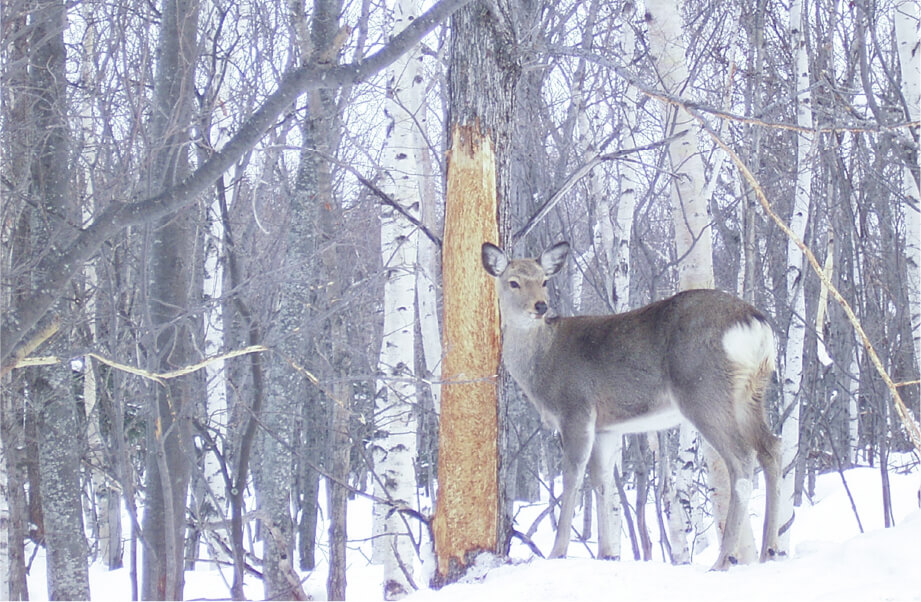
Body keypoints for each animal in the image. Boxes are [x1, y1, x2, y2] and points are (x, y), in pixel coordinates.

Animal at [481, 241, 782, 571]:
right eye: (513, 282)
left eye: (544, 280)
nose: (540, 306)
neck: (542, 362)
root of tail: (755, 323)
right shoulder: (606, 427)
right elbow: (601, 481)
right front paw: (607, 552)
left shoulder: (576, 408)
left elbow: (573, 477)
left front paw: (557, 551)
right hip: (751, 392)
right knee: (772, 448)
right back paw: (770, 550)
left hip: (703, 390)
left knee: (742, 458)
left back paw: (723, 559)